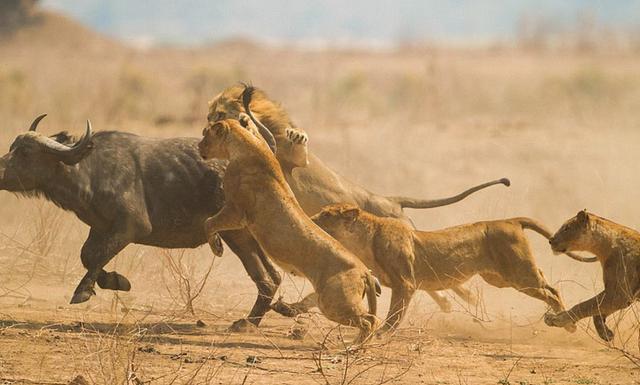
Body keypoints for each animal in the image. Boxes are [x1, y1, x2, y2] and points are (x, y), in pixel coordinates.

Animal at [198, 116, 380, 342]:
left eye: (206, 134)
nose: (198, 147)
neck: (246, 146)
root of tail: (364, 271)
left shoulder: (236, 212)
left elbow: (208, 222)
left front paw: (217, 248)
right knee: (370, 319)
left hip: (334, 302)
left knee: (370, 320)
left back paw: (353, 345)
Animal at [209, 83, 510, 312]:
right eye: (211, 114)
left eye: (218, 112)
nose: (211, 123)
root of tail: (390, 199)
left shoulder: (296, 162)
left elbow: (296, 149)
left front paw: (296, 135)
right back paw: (451, 302)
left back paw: (464, 298)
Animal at [276, 202, 592, 332]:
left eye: (324, 215)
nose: (308, 220)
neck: (364, 240)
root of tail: (510, 219)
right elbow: (312, 298)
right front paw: (288, 307)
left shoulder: (405, 283)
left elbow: (394, 315)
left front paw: (382, 334)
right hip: (499, 278)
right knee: (546, 284)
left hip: (518, 275)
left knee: (551, 291)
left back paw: (567, 324)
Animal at [544, 212, 640, 340]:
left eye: (566, 228)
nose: (550, 240)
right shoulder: (616, 295)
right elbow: (596, 311)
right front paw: (605, 333)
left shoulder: (619, 295)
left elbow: (584, 306)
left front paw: (556, 319)